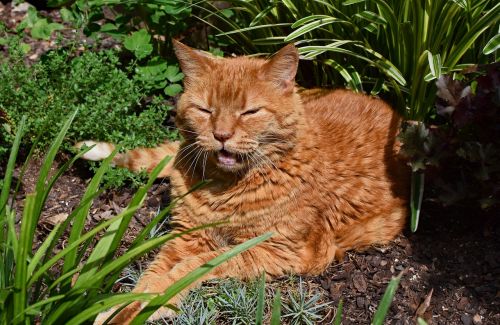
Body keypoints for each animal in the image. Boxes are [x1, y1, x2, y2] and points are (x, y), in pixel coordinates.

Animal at [84, 40, 408, 322]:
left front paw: (151, 305)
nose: (222, 135)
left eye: (250, 111)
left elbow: (188, 270)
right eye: (205, 110)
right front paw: (120, 311)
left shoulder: (279, 251)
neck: (222, 187)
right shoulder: (185, 237)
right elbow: (149, 279)